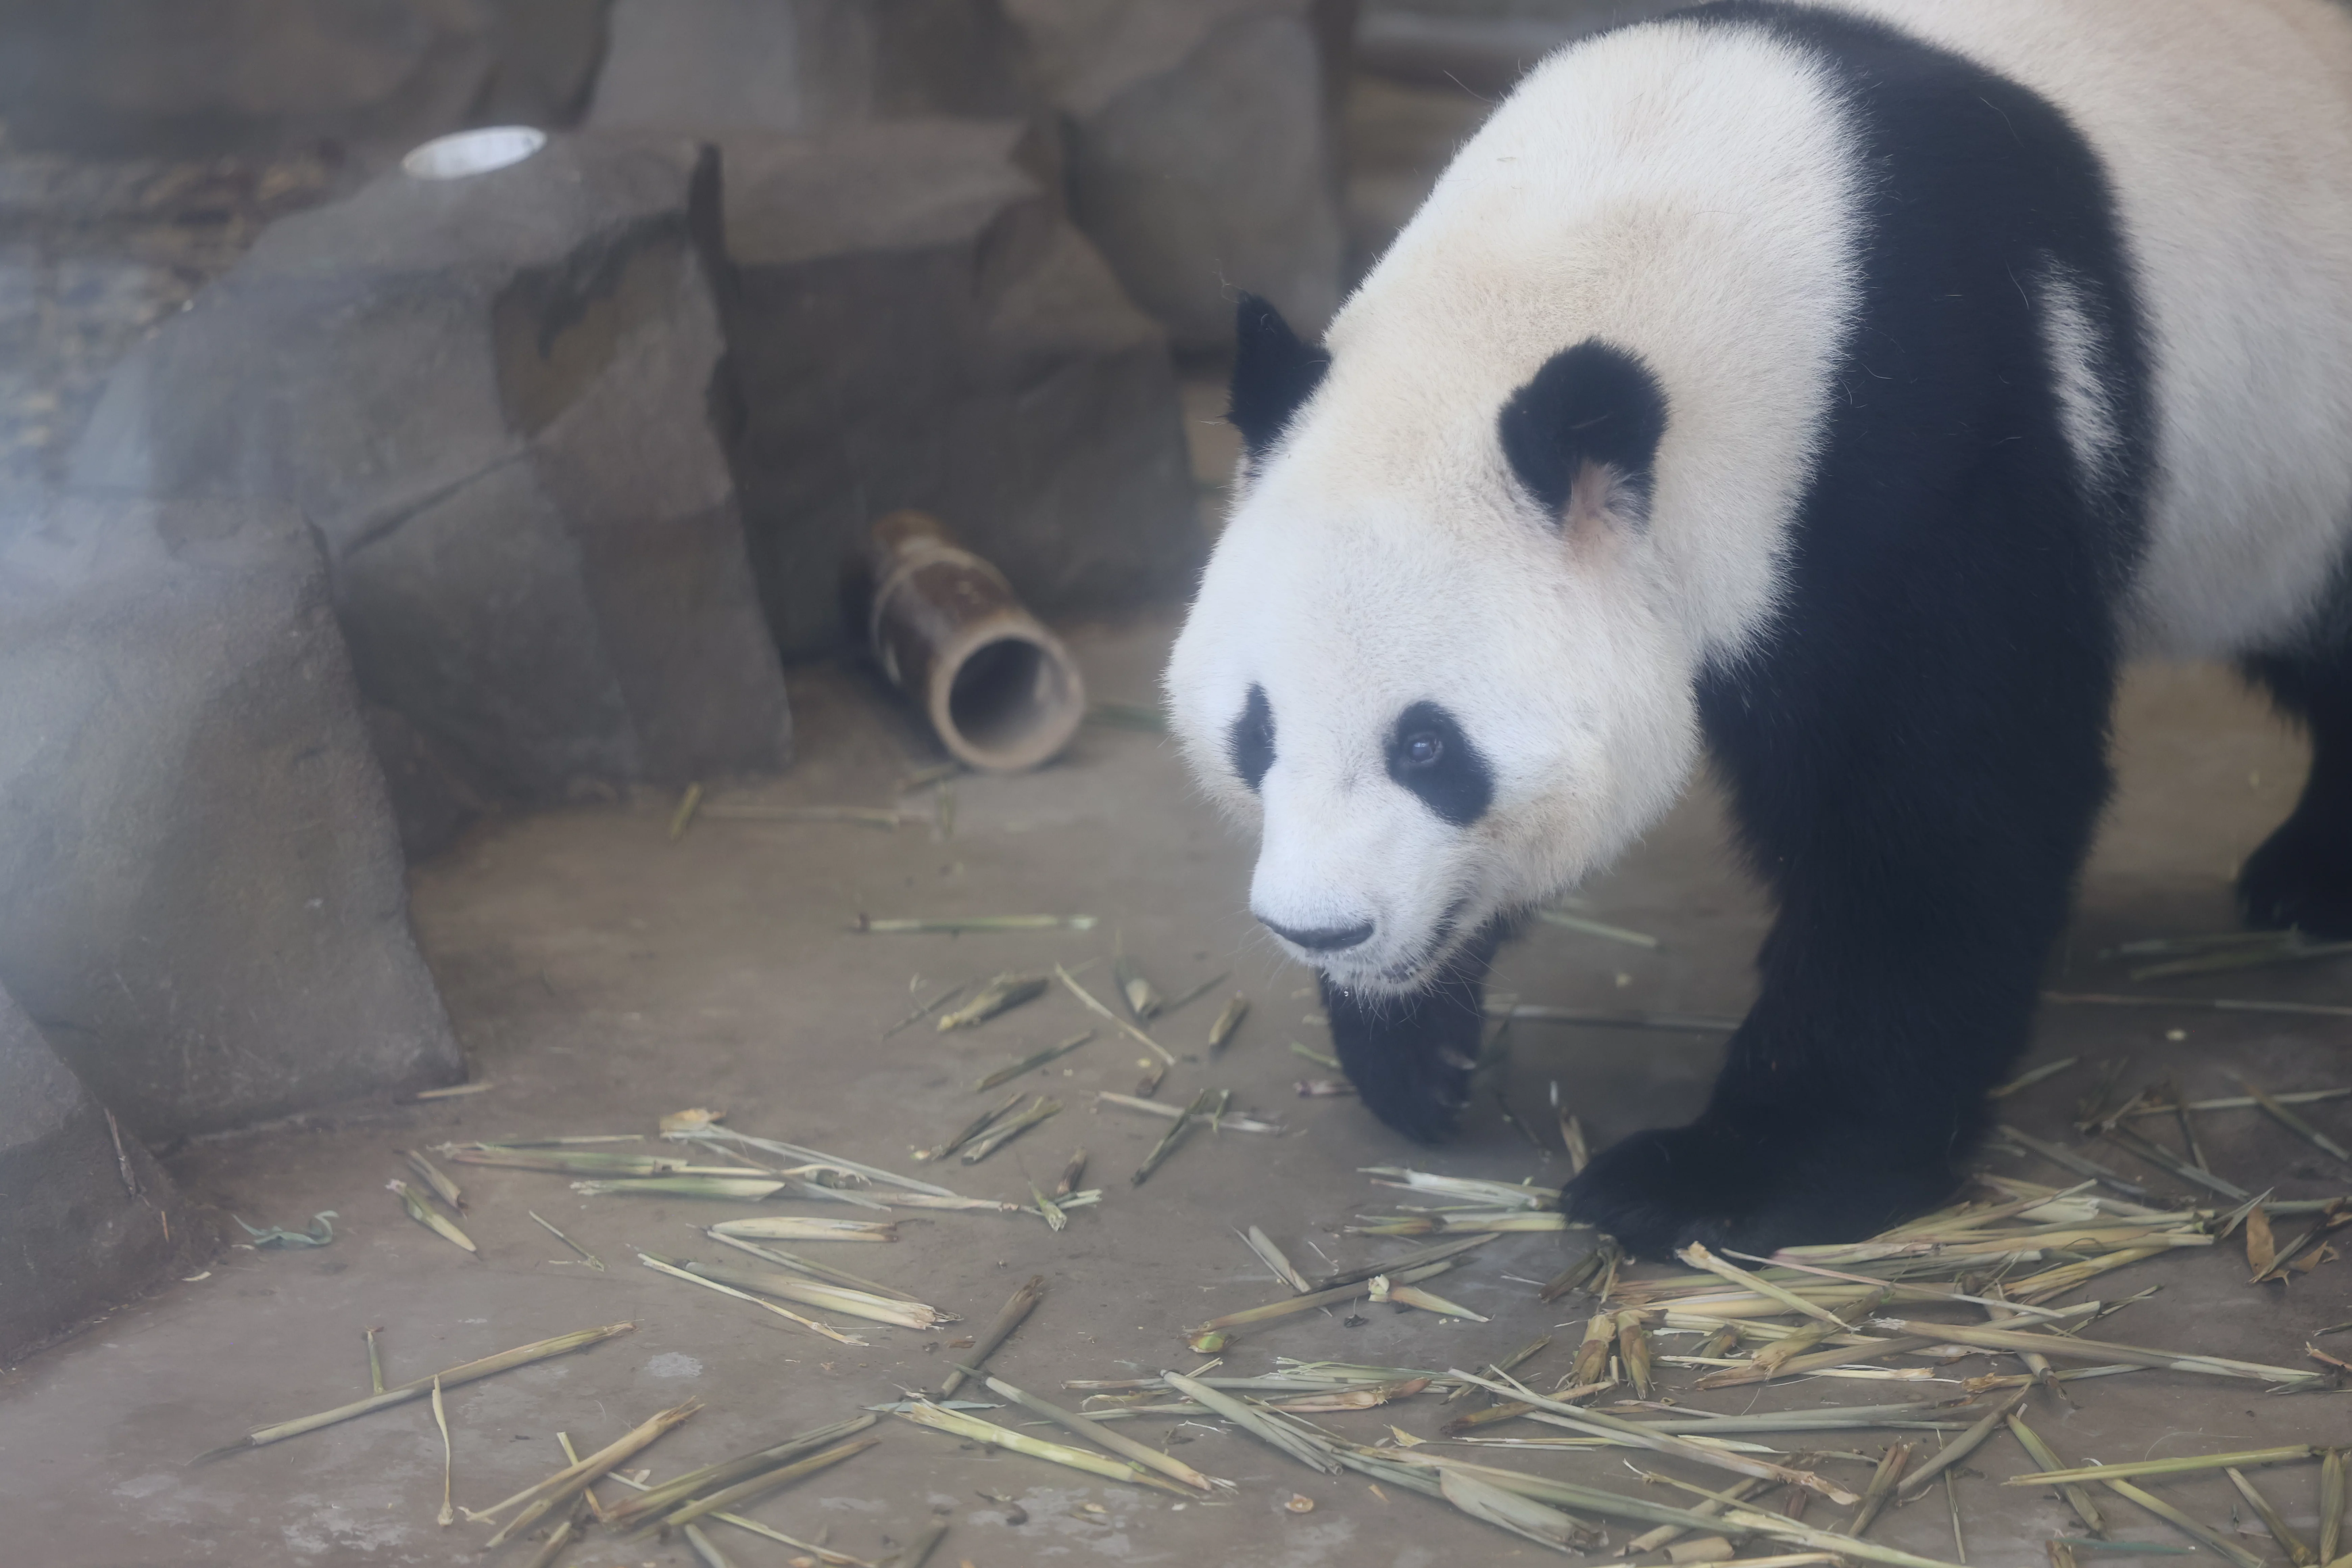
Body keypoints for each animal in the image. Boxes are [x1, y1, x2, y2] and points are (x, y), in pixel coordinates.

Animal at [1163, 0, 2352, 1255]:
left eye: (1428, 746)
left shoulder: (1924, 432)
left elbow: (1941, 814)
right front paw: (1413, 1050)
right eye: (1255, 734)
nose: (1322, 930)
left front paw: (1722, 1177)